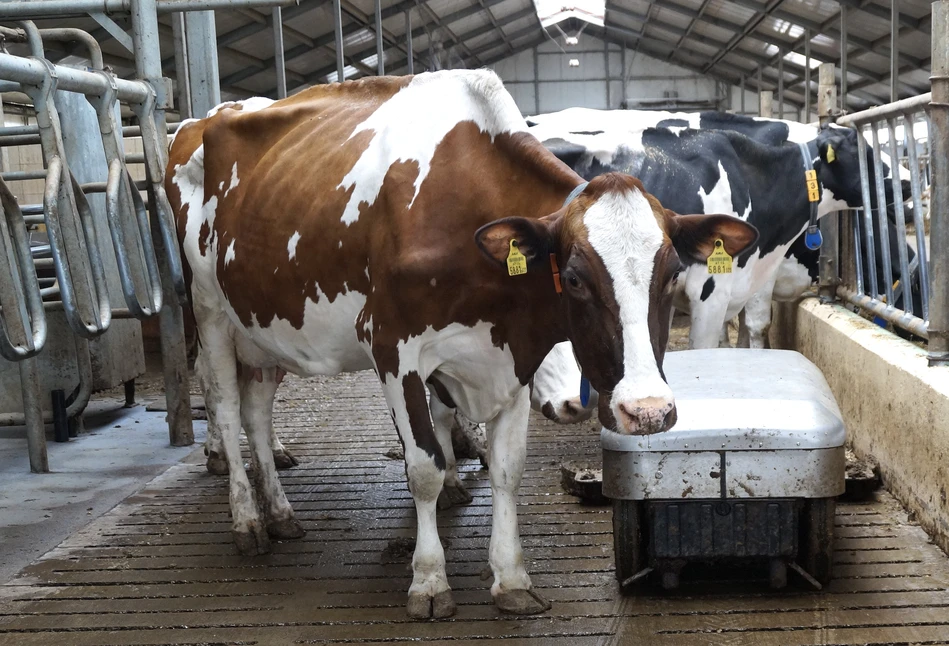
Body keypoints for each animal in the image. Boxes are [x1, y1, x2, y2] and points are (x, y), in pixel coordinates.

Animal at [165, 71, 756, 624]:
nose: (648, 410)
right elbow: (424, 465)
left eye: (672, 272)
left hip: (262, 326)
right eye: (575, 278)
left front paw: (511, 578)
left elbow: (507, 467)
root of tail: (211, 114)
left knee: (257, 411)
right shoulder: (392, 347)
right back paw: (247, 521)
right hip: (210, 310)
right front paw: (429, 582)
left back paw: (282, 512)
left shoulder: (513, 357)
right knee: (224, 405)